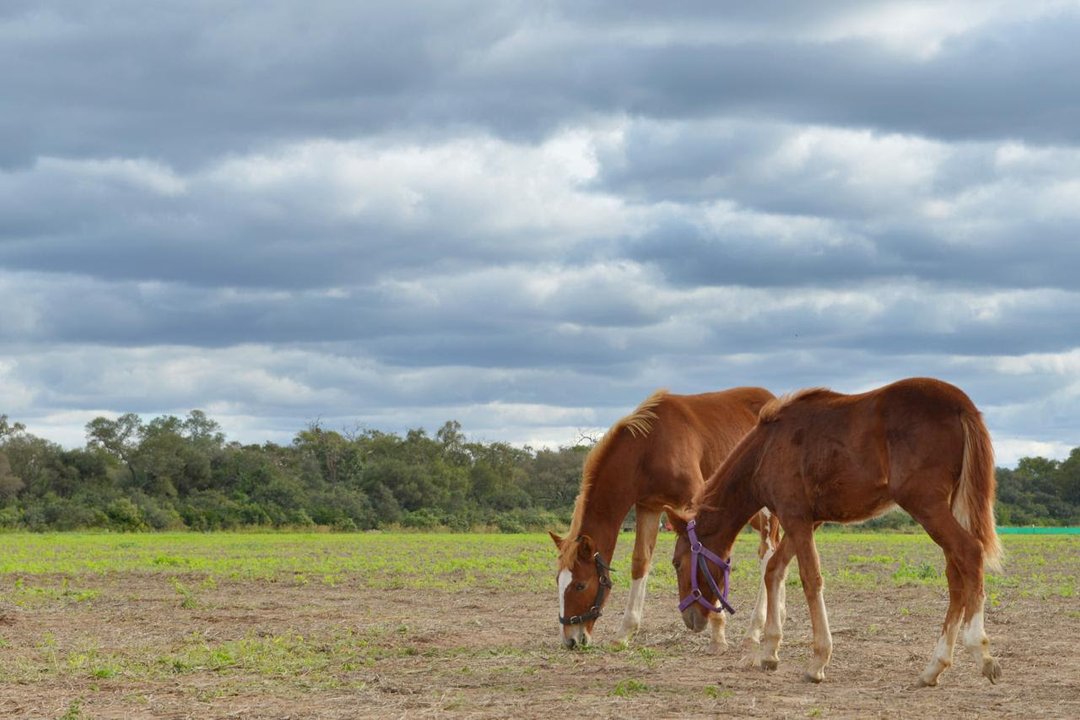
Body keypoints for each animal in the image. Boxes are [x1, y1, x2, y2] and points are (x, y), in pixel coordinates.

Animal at [549, 386, 781, 651]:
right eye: (558, 581)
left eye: (580, 585)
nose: (570, 640)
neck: (650, 446)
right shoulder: (648, 508)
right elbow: (640, 561)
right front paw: (625, 632)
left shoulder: (697, 503)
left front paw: (718, 634)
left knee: (767, 552)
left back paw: (755, 629)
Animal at [667, 377, 1003, 686]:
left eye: (676, 562)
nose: (689, 618)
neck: (768, 447)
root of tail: (961, 404)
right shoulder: (807, 521)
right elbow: (774, 570)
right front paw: (770, 651)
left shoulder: (795, 517)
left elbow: (810, 579)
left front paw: (818, 660)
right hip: (947, 505)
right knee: (955, 574)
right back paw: (934, 667)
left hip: (926, 505)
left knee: (969, 552)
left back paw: (981, 651)